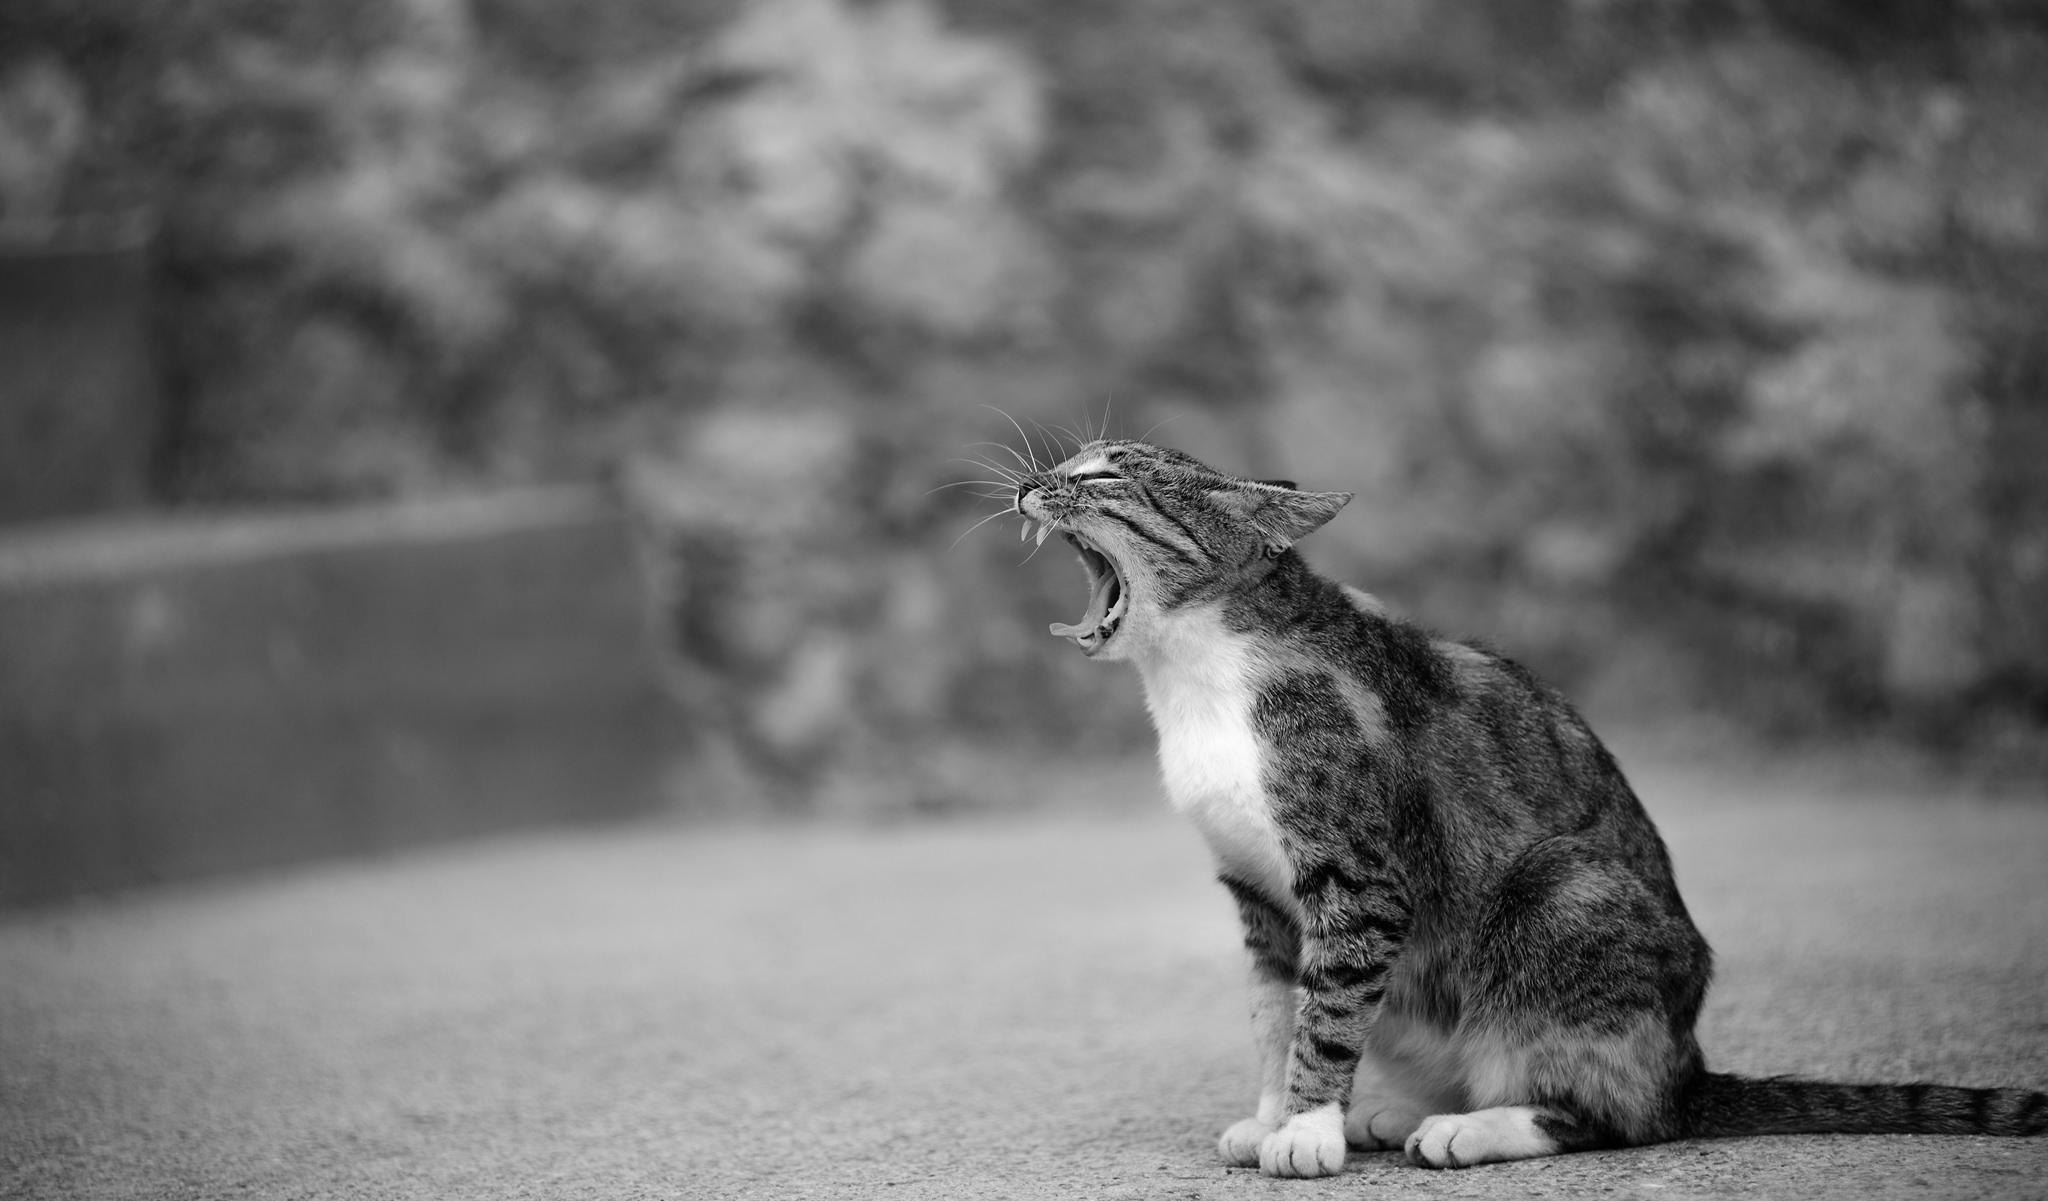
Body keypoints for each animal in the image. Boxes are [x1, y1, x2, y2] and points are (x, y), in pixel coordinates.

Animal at [1003, 436, 2048, 1172]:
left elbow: (1326, 1010)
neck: (1196, 674)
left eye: (1103, 474)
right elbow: (1275, 1010)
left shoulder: (1358, 875)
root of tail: (1690, 1066)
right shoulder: (1258, 893)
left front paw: (1304, 1129)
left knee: (1629, 1116)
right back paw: (1400, 1110)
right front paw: (1273, 1115)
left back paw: (1472, 1127)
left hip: (1563, 887)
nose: (1028, 483)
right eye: (1070, 464)